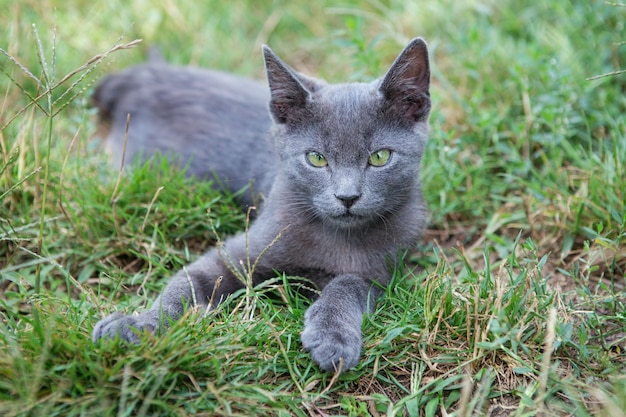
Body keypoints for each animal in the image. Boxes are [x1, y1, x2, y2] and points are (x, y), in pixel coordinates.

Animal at [91, 37, 428, 372]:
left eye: (380, 157)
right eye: (316, 158)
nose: (347, 197)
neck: (336, 238)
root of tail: (143, 75)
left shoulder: (382, 272)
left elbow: (348, 284)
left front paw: (332, 337)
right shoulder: (235, 253)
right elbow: (183, 285)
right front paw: (136, 325)